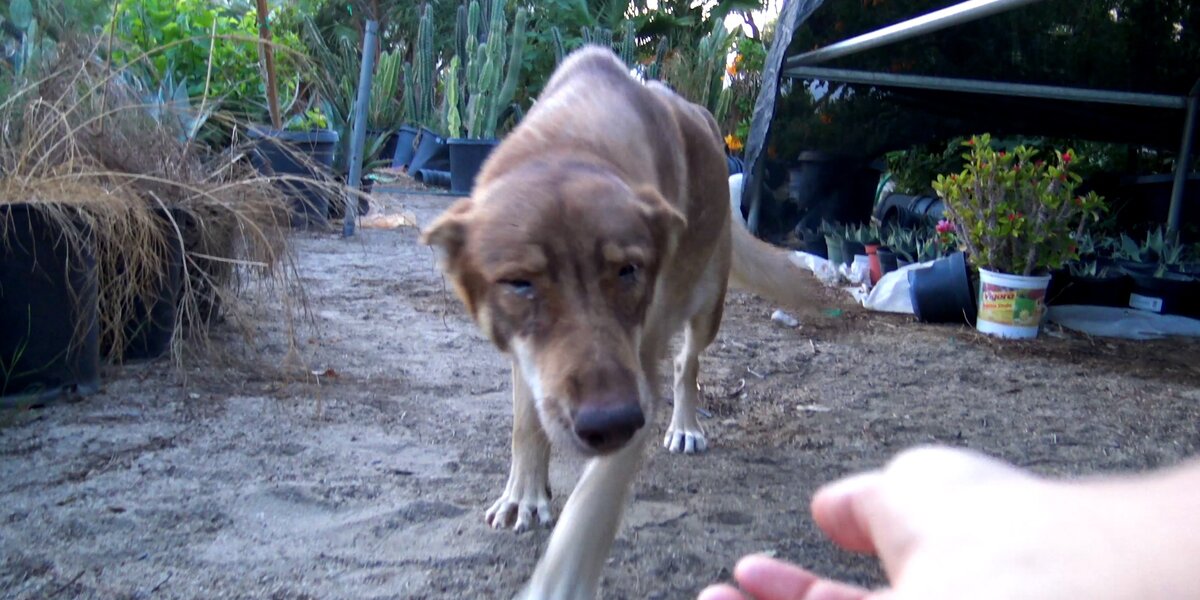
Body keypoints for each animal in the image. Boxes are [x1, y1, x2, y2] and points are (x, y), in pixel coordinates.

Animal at [422, 44, 825, 597]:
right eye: (520, 283)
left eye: (627, 271)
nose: (610, 422)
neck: (569, 139)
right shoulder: (530, 361)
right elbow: (527, 424)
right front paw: (524, 495)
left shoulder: (638, 372)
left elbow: (594, 500)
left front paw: (564, 575)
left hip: (708, 305)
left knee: (687, 364)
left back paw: (684, 426)